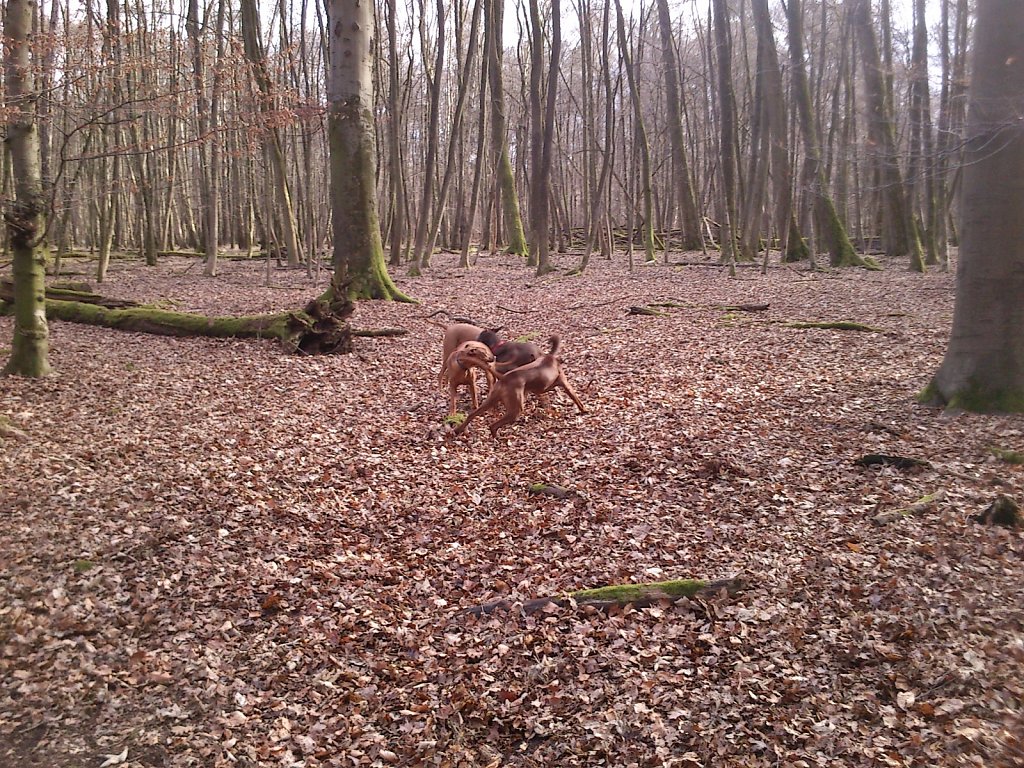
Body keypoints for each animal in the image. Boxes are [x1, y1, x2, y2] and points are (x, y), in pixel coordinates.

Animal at [454, 335, 589, 438]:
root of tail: (505, 378)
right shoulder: (565, 383)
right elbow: (576, 399)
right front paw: (584, 410)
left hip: (491, 401)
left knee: (473, 414)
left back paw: (458, 430)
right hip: (516, 410)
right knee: (493, 425)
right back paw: (498, 438)